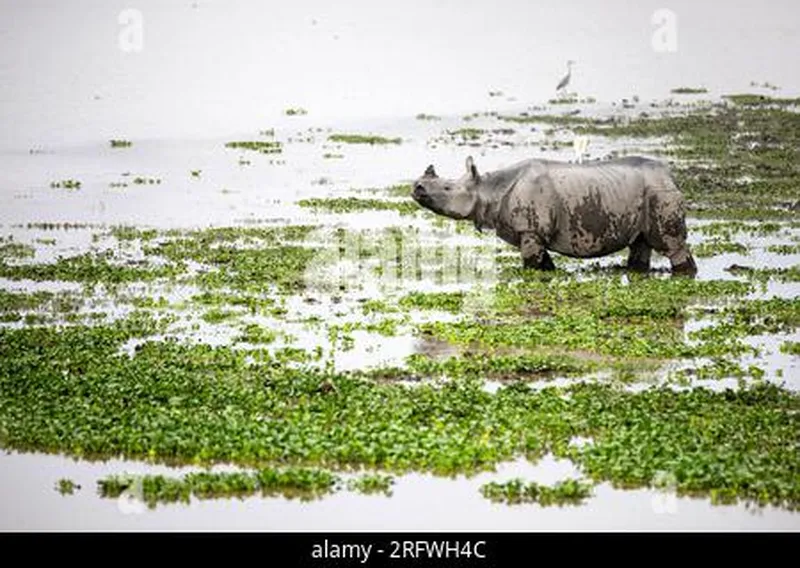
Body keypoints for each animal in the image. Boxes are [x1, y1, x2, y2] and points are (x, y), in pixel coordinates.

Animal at [410, 155, 696, 276]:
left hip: (660, 193)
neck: (489, 188)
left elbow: (531, 265)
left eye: (447, 188)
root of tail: (670, 177)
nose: (416, 187)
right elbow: (543, 263)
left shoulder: (531, 230)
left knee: (671, 244)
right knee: (640, 243)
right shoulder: (532, 233)